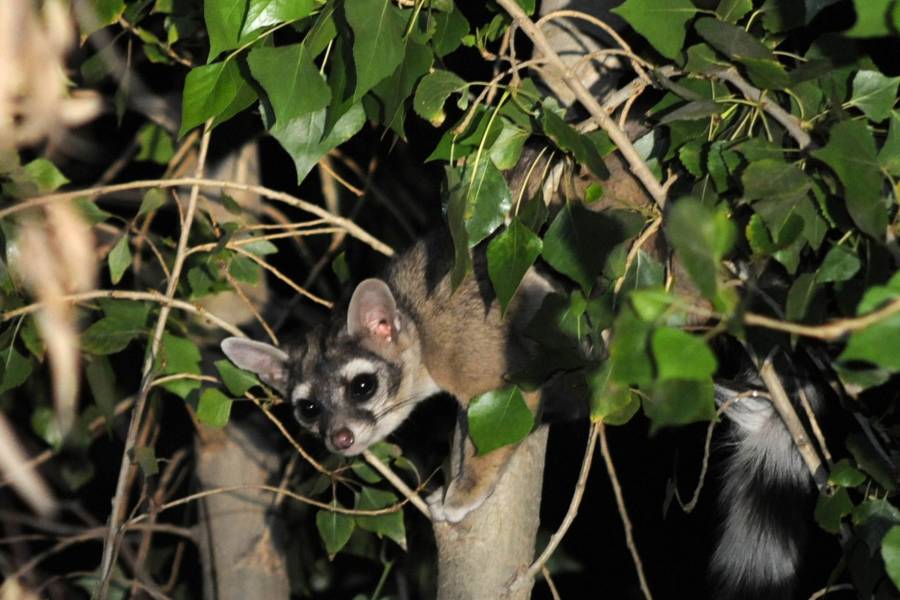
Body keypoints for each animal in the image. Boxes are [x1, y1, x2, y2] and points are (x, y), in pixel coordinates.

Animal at [221, 232, 552, 524]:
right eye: (309, 408)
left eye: (362, 387)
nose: (341, 438)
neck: (416, 324)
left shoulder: (463, 347)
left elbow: (500, 409)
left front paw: (465, 490)